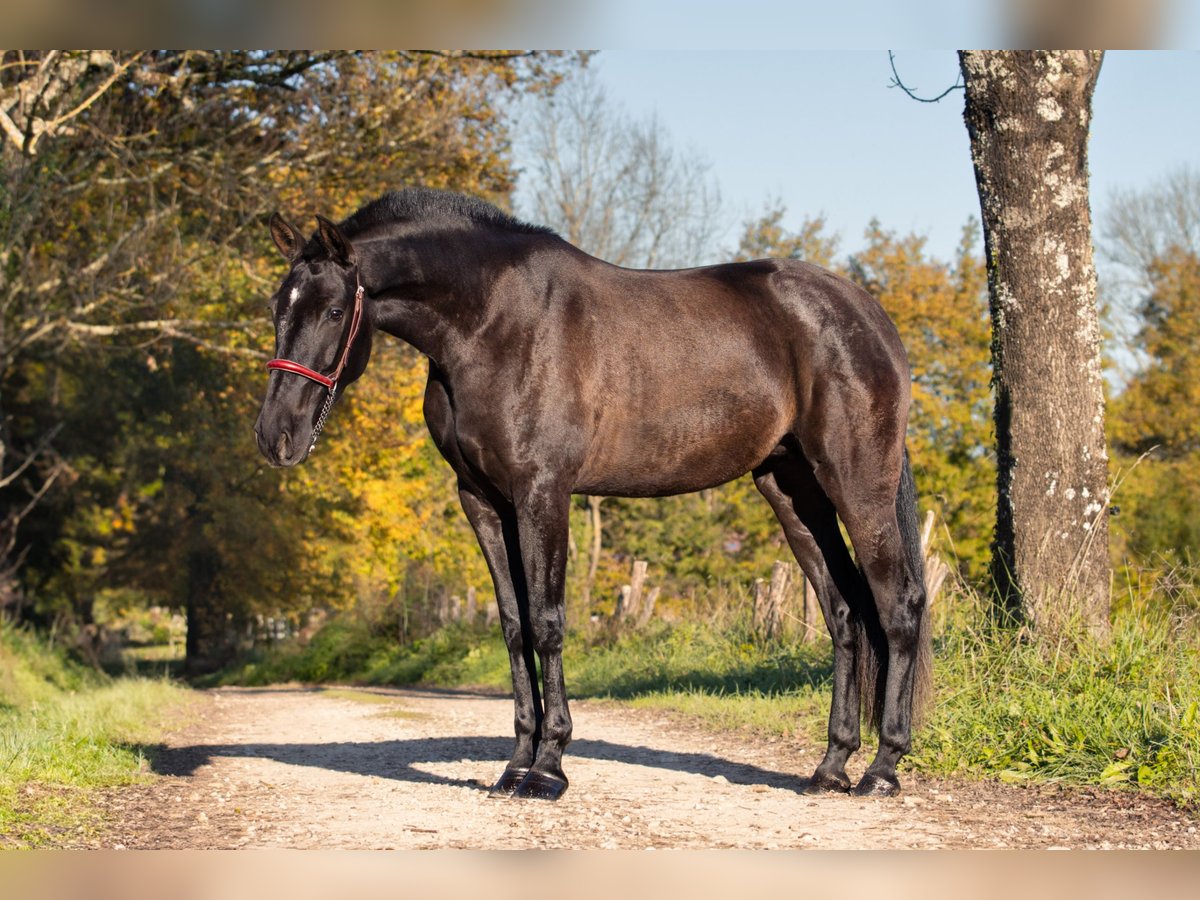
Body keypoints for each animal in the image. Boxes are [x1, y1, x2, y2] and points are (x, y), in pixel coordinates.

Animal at [250, 188, 926, 801]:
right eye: (278, 308)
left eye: (333, 311)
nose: (275, 436)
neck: (492, 321)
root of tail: (869, 316)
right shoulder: (482, 500)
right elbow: (513, 626)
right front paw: (514, 766)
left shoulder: (543, 491)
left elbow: (547, 622)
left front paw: (548, 768)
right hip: (792, 490)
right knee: (844, 614)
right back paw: (830, 767)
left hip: (857, 483)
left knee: (899, 605)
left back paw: (882, 770)